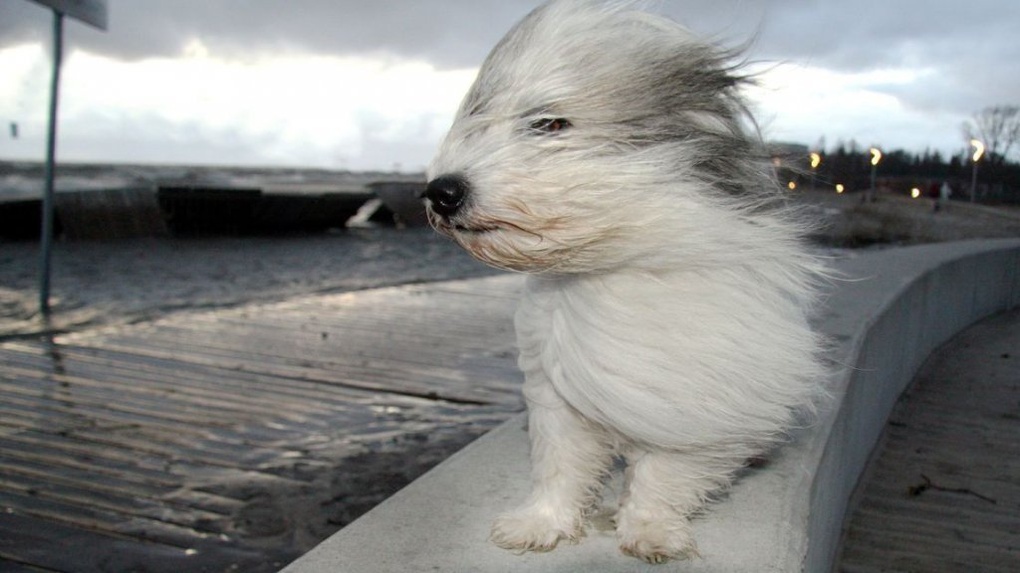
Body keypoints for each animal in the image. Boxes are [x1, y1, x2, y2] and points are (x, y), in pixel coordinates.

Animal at [422, 0, 828, 562]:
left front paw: (651, 530)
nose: (441, 192)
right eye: (480, 118)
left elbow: (666, 473)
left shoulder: (693, 399)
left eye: (549, 123)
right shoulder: (556, 391)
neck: (610, 262)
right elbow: (560, 466)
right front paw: (541, 523)